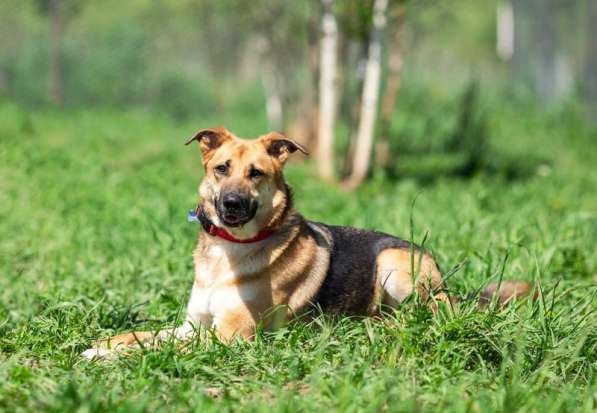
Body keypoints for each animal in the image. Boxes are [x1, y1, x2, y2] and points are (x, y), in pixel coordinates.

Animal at [81, 128, 532, 358]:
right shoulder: (194, 325)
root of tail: (448, 287)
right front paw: (104, 345)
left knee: (423, 316)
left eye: (256, 173)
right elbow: (143, 336)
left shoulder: (231, 335)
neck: (230, 251)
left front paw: (115, 355)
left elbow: (155, 350)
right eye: (221, 169)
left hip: (394, 263)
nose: (230, 204)